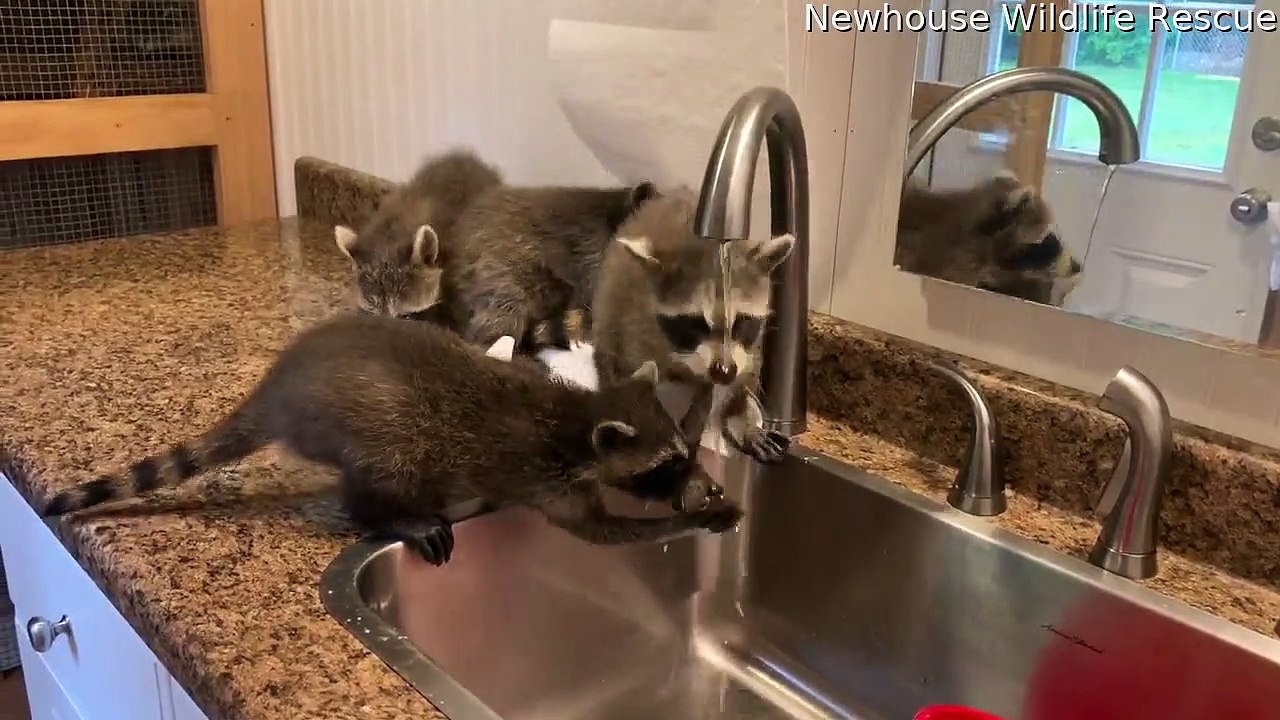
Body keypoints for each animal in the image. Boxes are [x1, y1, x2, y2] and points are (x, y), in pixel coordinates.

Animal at [41, 315, 742, 564]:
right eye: (662, 465)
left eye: (685, 451)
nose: (696, 482)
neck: (579, 412)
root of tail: (280, 388)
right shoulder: (546, 474)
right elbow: (601, 532)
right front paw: (689, 519)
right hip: (376, 427)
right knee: (382, 475)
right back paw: (390, 514)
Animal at [591, 189, 795, 464]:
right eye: (695, 322)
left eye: (742, 320)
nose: (724, 372)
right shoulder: (636, 326)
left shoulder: (743, 347)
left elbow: (714, 392)